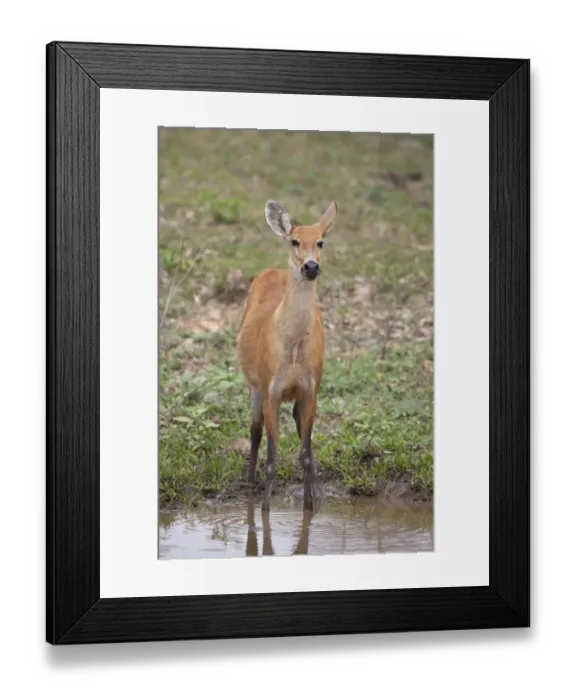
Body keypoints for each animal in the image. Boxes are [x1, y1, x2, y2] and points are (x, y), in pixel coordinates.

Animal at [236, 199, 338, 513]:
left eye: (321, 242)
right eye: (295, 241)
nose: (311, 266)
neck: (292, 354)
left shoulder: (310, 388)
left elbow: (303, 454)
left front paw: (309, 506)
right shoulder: (271, 388)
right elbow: (272, 458)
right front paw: (264, 510)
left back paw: (317, 490)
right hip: (254, 383)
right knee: (254, 428)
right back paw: (249, 481)